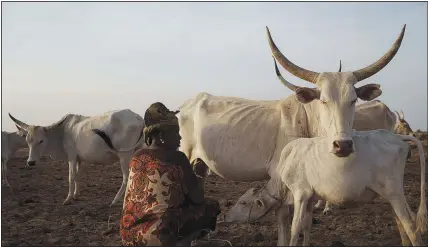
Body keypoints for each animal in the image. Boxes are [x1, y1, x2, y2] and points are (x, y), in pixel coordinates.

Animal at [7, 109, 145, 206]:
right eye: (28, 140)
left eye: (41, 141)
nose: (30, 162)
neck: (62, 132)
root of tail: (138, 118)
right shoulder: (80, 159)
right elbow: (78, 176)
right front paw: (75, 195)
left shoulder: (72, 157)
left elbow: (71, 176)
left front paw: (68, 199)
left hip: (125, 156)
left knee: (127, 177)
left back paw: (116, 200)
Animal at [226, 130, 426, 246]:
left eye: (243, 202)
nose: (226, 216)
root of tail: (396, 136)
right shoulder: (311, 198)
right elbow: (306, 225)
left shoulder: (300, 194)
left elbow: (295, 227)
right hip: (392, 194)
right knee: (405, 221)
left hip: (394, 192)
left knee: (411, 225)